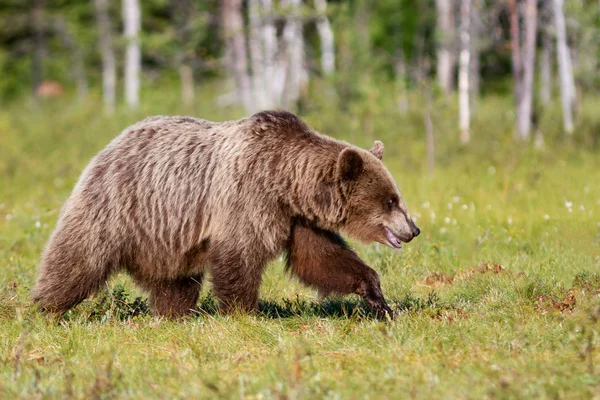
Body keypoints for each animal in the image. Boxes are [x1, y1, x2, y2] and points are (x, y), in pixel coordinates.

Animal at [31, 111, 418, 320]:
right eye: (390, 200)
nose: (413, 229)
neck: (286, 181)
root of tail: (113, 142)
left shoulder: (297, 218)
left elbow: (320, 259)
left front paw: (378, 298)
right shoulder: (247, 196)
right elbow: (240, 256)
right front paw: (245, 312)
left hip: (168, 234)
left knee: (176, 281)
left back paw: (173, 314)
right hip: (118, 207)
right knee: (77, 259)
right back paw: (43, 309)